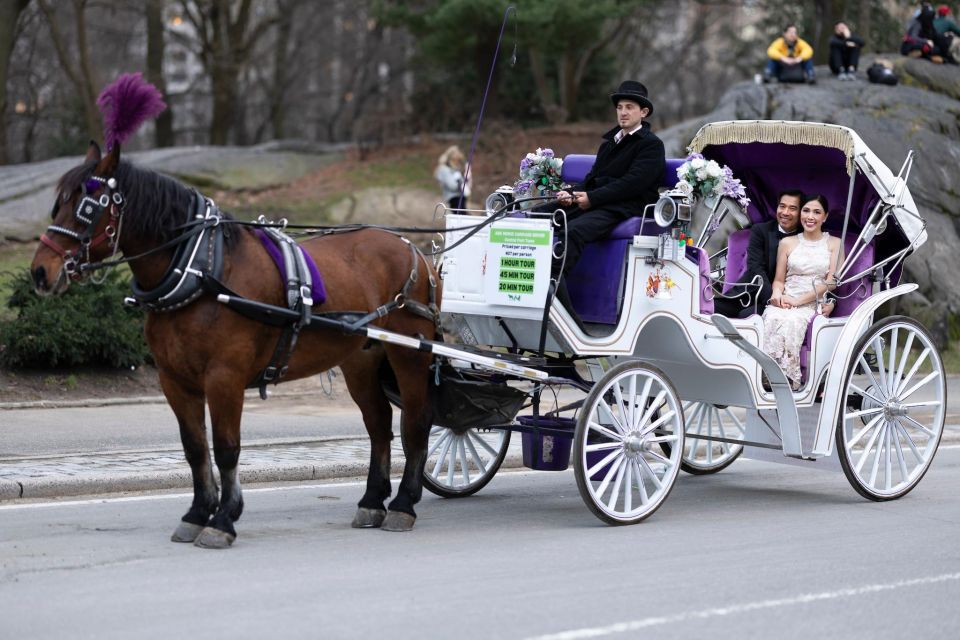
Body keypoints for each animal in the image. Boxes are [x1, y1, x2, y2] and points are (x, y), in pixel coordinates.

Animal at [30, 142, 442, 548]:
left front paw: (224, 519)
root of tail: (414, 249)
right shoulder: (174, 380)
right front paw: (197, 514)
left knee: (416, 423)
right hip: (361, 359)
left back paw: (403, 504)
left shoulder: (224, 378)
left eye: (86, 206)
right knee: (379, 425)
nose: (40, 272)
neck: (201, 271)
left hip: (409, 353)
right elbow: (195, 448)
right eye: (56, 204)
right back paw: (372, 502)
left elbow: (227, 449)